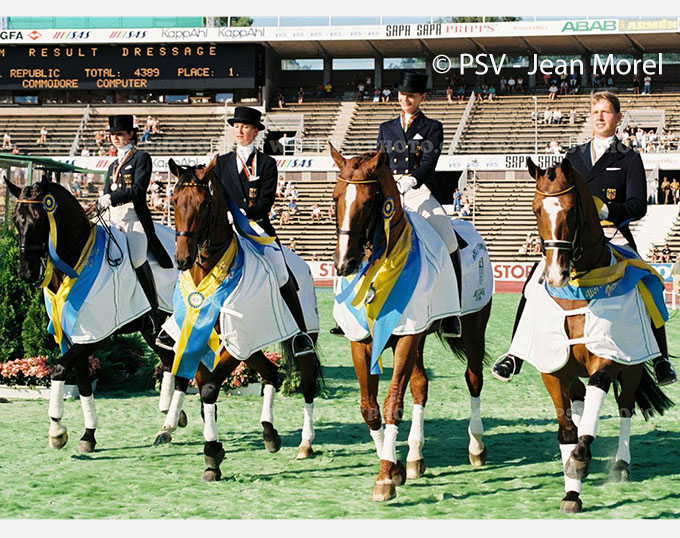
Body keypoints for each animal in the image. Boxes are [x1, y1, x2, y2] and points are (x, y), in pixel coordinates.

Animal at [3, 173, 183, 452]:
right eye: (14, 219)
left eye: (39, 219)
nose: (26, 273)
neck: (76, 262)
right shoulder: (73, 337)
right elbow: (83, 383)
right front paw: (88, 435)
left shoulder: (94, 336)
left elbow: (58, 370)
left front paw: (56, 430)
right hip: (153, 331)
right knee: (168, 362)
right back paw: (169, 424)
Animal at [166, 157, 322, 480]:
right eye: (173, 201)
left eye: (203, 204)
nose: (182, 259)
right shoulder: (200, 339)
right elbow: (202, 386)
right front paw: (212, 452)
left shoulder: (235, 343)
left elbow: (209, 388)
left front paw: (212, 454)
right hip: (251, 346)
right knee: (272, 373)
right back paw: (269, 432)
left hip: (298, 341)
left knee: (307, 385)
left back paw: (305, 444)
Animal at [328, 144, 492, 500]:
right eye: (335, 198)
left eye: (369, 202)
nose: (344, 264)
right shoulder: (364, 341)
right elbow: (370, 408)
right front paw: (396, 467)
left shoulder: (405, 337)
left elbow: (392, 404)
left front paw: (385, 478)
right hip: (419, 337)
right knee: (420, 385)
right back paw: (416, 456)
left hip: (473, 329)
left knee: (473, 380)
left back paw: (476, 447)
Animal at [524, 157, 668, 512]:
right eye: (535, 210)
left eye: (573, 210)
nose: (556, 275)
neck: (578, 288)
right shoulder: (553, 368)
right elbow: (566, 429)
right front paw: (571, 490)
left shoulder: (607, 358)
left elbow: (593, 413)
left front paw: (579, 462)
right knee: (580, 401)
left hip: (631, 369)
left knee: (625, 408)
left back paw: (620, 465)